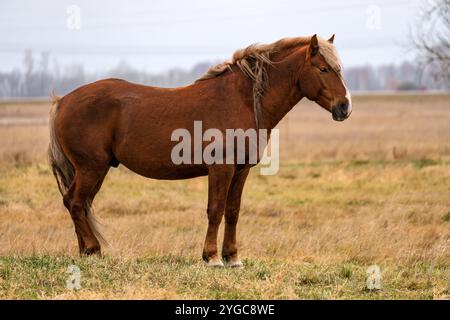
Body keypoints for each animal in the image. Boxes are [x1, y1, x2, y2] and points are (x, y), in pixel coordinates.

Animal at [49, 34, 352, 268]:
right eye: (323, 69)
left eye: (339, 68)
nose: (344, 106)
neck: (242, 100)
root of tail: (63, 101)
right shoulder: (221, 168)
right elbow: (215, 210)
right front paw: (212, 257)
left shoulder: (241, 170)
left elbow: (233, 211)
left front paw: (233, 257)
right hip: (91, 168)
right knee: (75, 202)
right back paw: (92, 249)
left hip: (94, 170)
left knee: (79, 204)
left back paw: (86, 251)